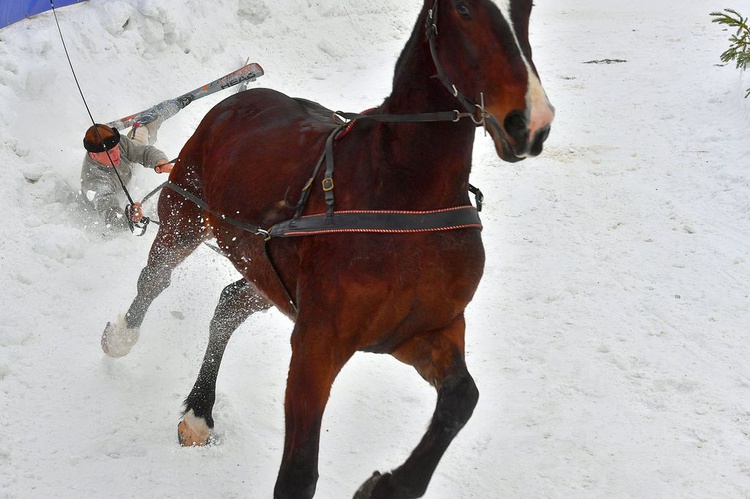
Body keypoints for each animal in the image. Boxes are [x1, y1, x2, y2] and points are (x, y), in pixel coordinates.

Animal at [103, 1, 556, 498]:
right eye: (463, 9)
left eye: (528, 9)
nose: (529, 123)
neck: (406, 196)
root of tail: (236, 99)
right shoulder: (318, 343)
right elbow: (299, 473)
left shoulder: (423, 331)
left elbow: (462, 398)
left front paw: (387, 486)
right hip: (184, 217)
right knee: (155, 278)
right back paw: (122, 337)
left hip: (265, 273)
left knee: (228, 305)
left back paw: (199, 412)